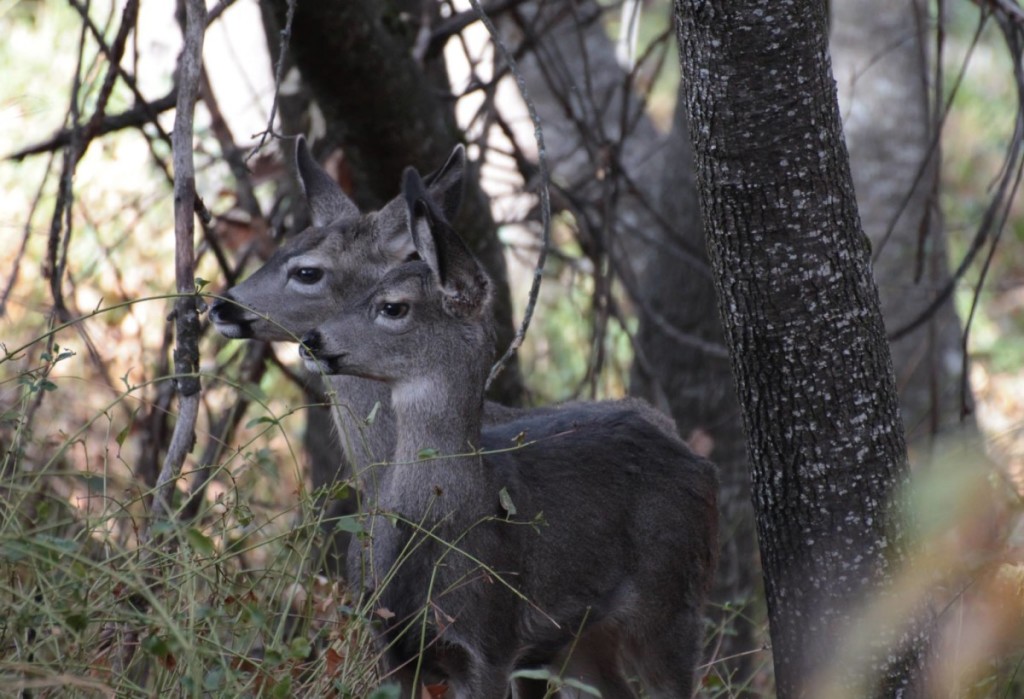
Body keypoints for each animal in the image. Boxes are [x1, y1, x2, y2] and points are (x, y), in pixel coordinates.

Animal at [299, 162, 720, 699]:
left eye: (393, 306)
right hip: (580, 637)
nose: (312, 340)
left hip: (672, 601)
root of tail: (699, 462)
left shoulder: (489, 640)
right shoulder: (387, 645)